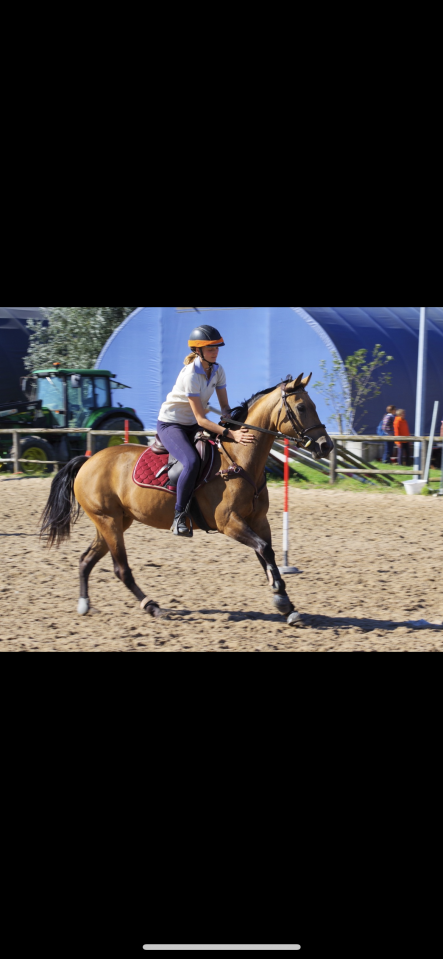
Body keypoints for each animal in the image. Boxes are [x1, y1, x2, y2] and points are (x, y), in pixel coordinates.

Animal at [40, 374, 334, 626]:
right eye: (301, 407)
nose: (325, 445)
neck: (239, 460)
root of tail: (88, 461)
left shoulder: (258, 520)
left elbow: (266, 553)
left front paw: (285, 603)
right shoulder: (228, 522)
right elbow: (263, 549)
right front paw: (281, 599)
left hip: (115, 522)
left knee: (86, 559)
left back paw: (84, 603)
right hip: (108, 521)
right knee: (120, 568)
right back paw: (152, 606)